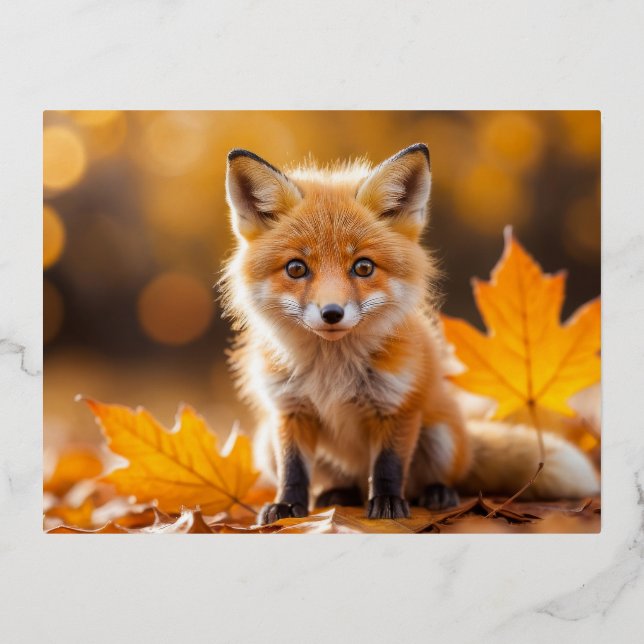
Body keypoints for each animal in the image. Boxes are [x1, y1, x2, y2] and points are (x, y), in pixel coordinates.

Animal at [220, 143, 599, 524]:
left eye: (363, 267)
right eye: (296, 269)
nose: (332, 313)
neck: (333, 371)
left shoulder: (397, 406)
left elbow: (388, 466)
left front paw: (388, 504)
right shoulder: (290, 409)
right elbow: (294, 469)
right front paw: (287, 507)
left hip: (440, 437)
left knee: (434, 479)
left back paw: (437, 494)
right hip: (266, 443)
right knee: (345, 484)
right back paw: (339, 495)